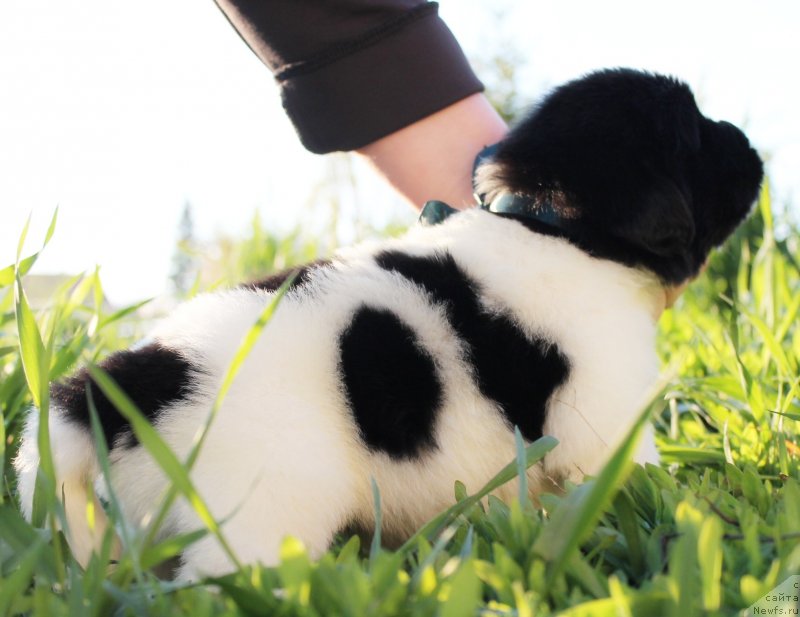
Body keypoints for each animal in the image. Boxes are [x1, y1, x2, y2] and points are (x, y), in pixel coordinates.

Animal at [12, 70, 764, 580]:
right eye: (697, 136)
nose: (755, 147)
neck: (555, 227)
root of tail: (121, 383)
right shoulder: (606, 417)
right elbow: (639, 479)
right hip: (255, 508)